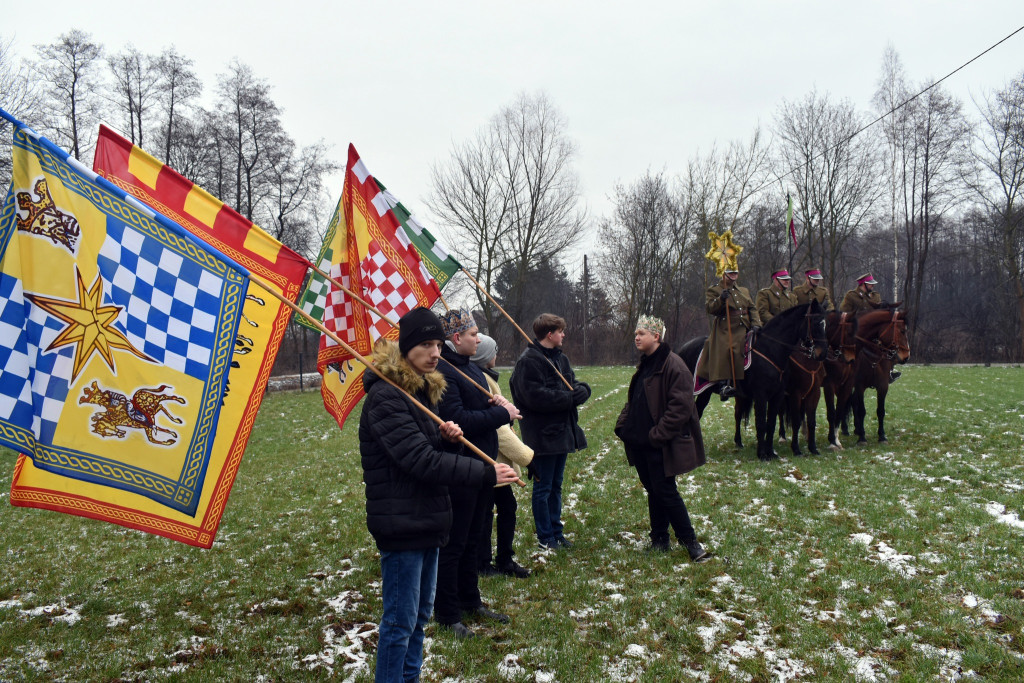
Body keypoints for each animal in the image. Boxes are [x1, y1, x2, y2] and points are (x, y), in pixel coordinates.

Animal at [675, 301, 827, 462]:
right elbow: (761, 423)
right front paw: (762, 454)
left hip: (706, 393)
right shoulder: (762, 395)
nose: (822, 353)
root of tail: (683, 348)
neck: (770, 350)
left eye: (826, 324)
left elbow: (771, 423)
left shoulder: (778, 395)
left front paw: (771, 453)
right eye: (816, 322)